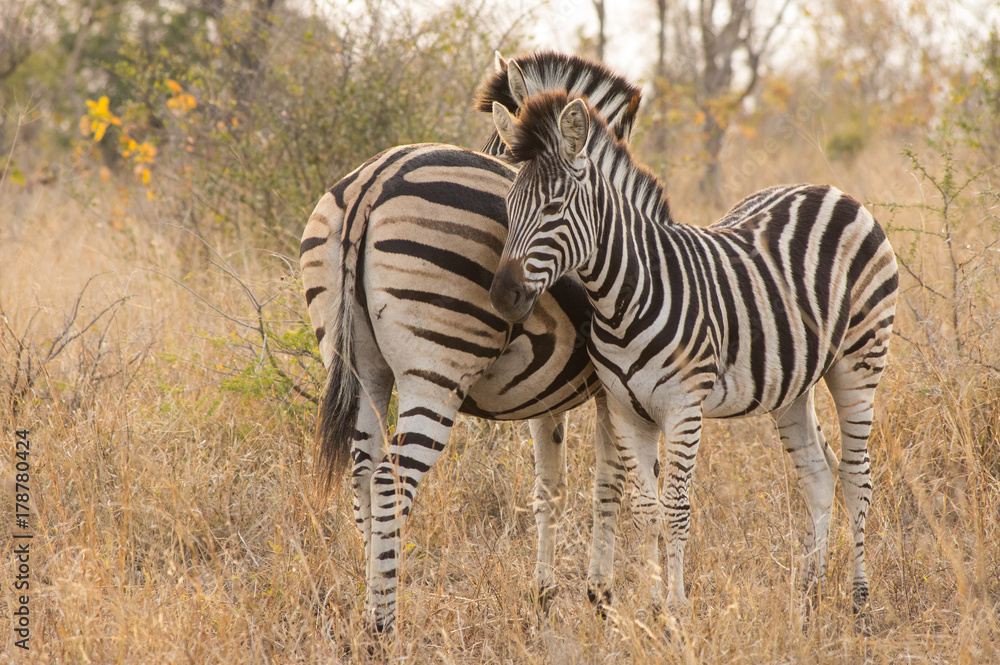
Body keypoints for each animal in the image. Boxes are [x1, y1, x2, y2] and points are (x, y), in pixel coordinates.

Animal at [300, 52, 643, 632]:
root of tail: (373, 181)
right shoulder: (612, 390)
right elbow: (609, 485)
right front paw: (600, 598)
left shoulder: (547, 401)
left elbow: (550, 489)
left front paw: (545, 595)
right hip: (435, 370)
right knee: (391, 482)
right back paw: (384, 627)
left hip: (361, 366)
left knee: (363, 473)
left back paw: (371, 600)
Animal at [488, 92, 898, 619]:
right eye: (508, 205)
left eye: (554, 207)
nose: (503, 297)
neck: (623, 297)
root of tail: (828, 189)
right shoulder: (625, 410)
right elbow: (646, 512)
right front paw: (648, 607)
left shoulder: (683, 407)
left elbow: (677, 509)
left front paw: (676, 608)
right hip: (792, 384)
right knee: (817, 474)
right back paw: (809, 593)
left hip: (860, 361)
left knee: (856, 476)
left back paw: (859, 599)